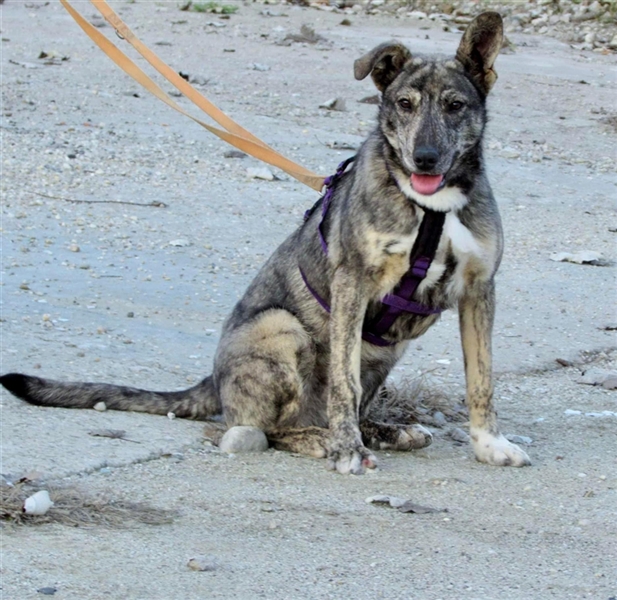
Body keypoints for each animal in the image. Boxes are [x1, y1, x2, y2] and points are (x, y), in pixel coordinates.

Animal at [1, 12, 531, 474]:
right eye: (404, 104)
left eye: (455, 106)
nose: (425, 158)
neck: (433, 210)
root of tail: (213, 380)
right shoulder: (353, 285)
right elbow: (342, 388)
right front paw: (346, 451)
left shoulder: (480, 290)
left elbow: (481, 380)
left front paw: (489, 445)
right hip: (282, 328)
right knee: (271, 428)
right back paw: (326, 439)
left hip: (381, 355)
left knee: (347, 406)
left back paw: (384, 431)